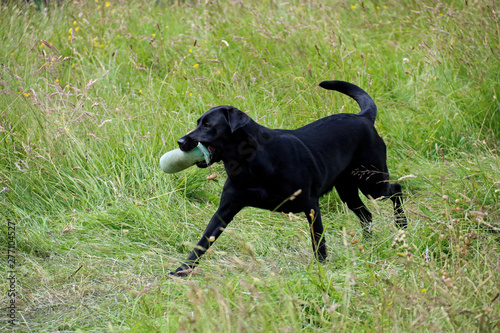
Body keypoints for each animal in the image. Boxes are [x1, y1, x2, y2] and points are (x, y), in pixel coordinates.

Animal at [172, 80, 406, 274]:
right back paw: (368, 243)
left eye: (208, 125)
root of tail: (362, 117)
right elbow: (203, 241)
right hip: (348, 190)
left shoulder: (311, 205)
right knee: (366, 214)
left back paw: (401, 225)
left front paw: (321, 267)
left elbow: (318, 240)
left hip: (372, 182)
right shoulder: (225, 209)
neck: (250, 162)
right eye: (198, 122)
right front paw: (181, 270)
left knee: (396, 189)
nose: (181, 141)